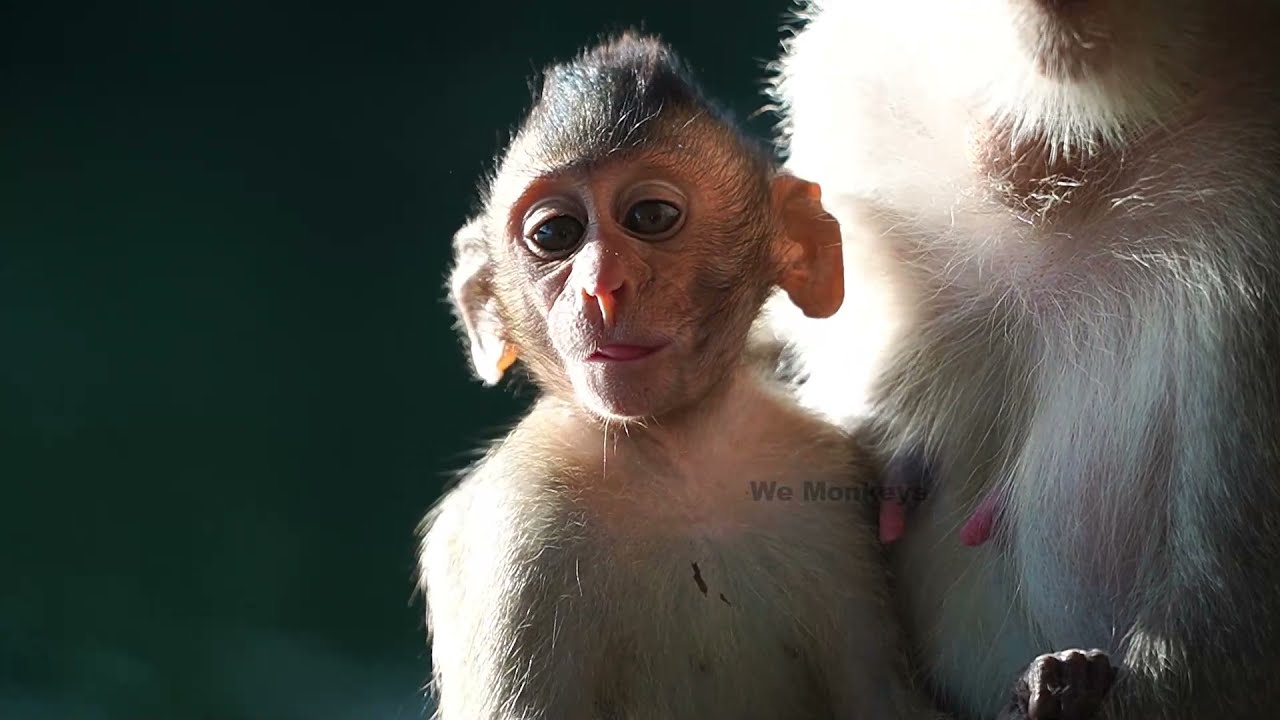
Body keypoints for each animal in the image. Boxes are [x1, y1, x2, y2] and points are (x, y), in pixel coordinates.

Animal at [419, 33, 1114, 720]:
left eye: (650, 217)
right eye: (555, 234)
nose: (600, 286)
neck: (675, 457)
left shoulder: (823, 480)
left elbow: (880, 699)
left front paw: (1055, 695)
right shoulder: (517, 532)